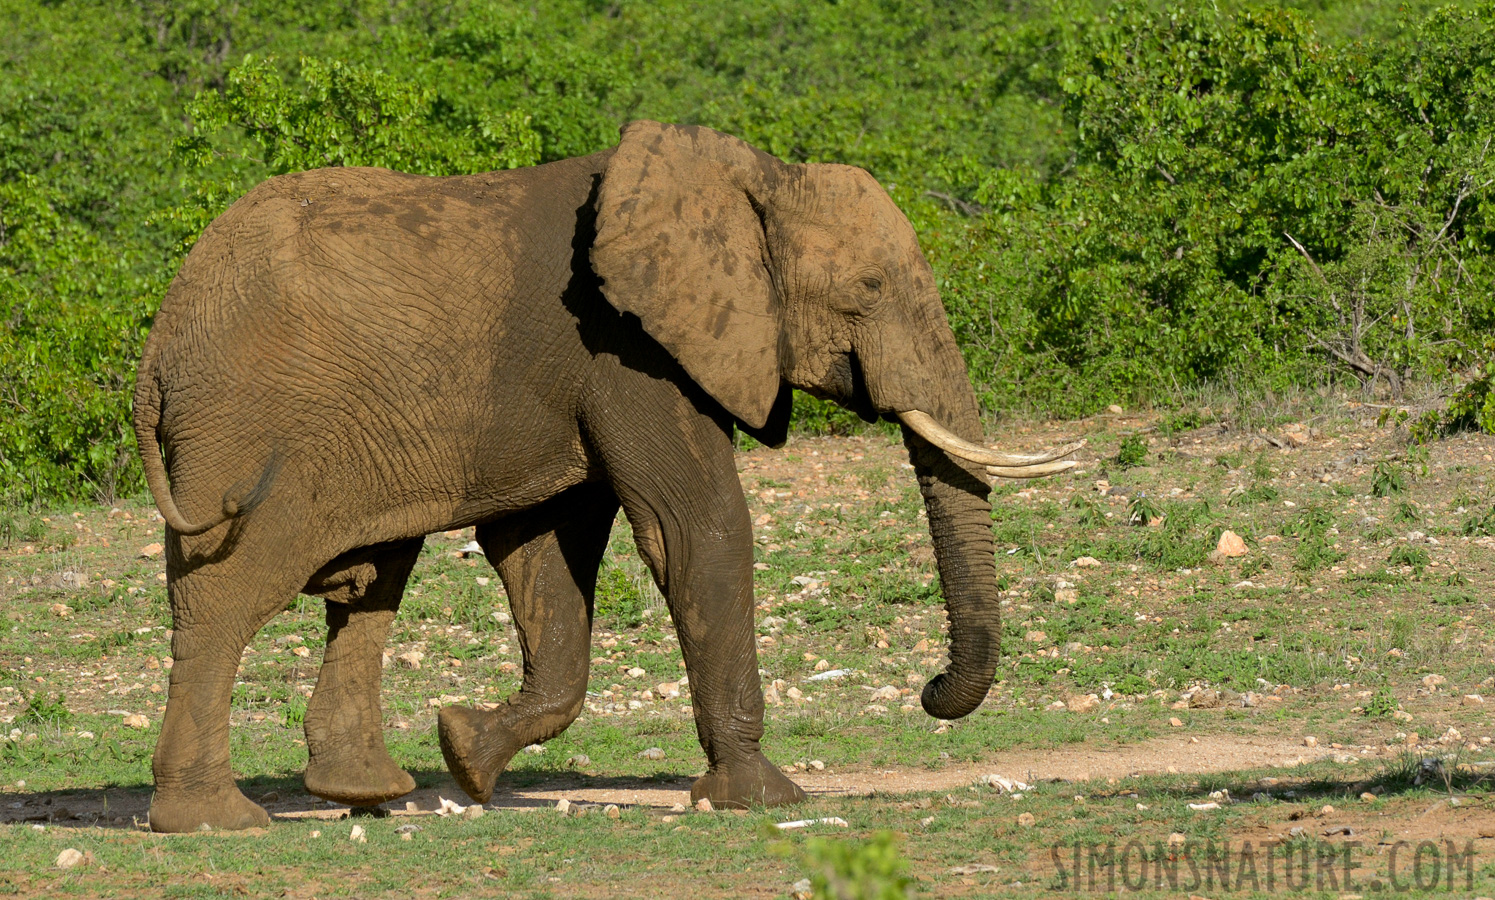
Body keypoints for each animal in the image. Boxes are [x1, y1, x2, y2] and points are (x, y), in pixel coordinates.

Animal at [131, 117, 1076, 825]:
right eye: (869, 289)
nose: (928, 691)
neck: (756, 179)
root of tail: (157, 341)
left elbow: (544, 552)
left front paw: (466, 753)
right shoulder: (628, 349)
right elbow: (696, 528)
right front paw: (763, 799)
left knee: (370, 586)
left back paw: (369, 793)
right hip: (243, 430)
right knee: (229, 597)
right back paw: (216, 820)